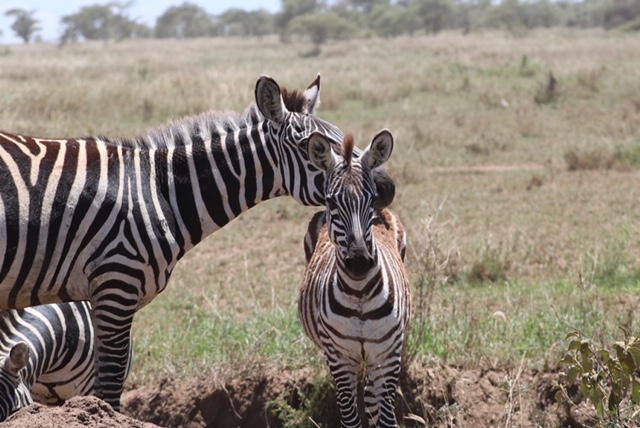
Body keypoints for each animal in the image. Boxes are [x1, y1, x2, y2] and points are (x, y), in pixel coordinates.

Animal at [298, 130, 410, 428]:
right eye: (332, 201)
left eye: (370, 199)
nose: (359, 262)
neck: (359, 292)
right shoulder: (339, 358)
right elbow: (350, 418)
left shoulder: (387, 356)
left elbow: (385, 419)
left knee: (371, 398)